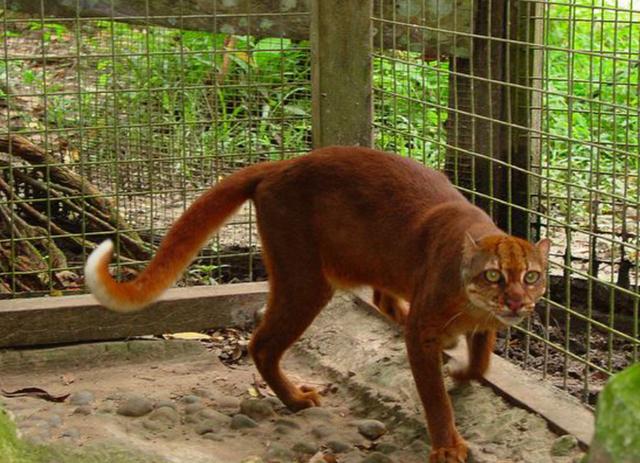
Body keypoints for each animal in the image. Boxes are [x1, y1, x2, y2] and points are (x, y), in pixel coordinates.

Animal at [86, 147, 552, 462]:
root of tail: (282, 164)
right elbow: (435, 397)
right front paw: (448, 446)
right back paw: (295, 399)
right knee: (262, 344)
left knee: (379, 296)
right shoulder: (425, 330)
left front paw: (463, 369)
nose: (516, 301)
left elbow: (483, 357)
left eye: (532, 276)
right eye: (493, 275)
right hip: (306, 278)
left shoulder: (483, 321)